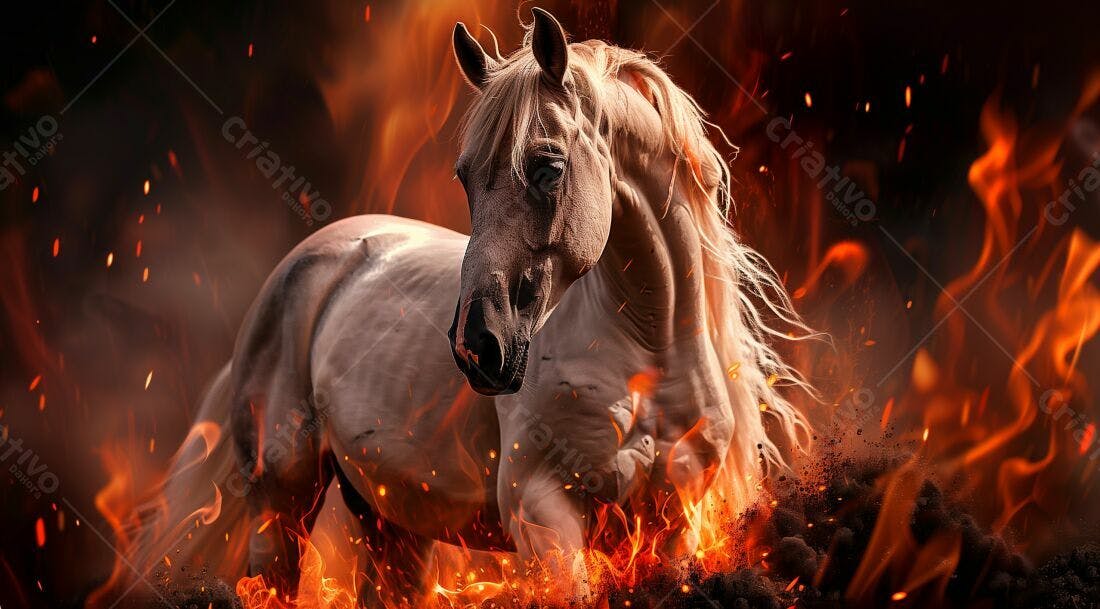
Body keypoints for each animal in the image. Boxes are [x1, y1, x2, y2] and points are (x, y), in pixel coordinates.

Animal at [127, 8, 812, 607]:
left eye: (547, 166)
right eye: (464, 175)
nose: (478, 346)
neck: (648, 344)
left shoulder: (675, 527)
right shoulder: (543, 515)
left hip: (393, 523)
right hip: (281, 508)